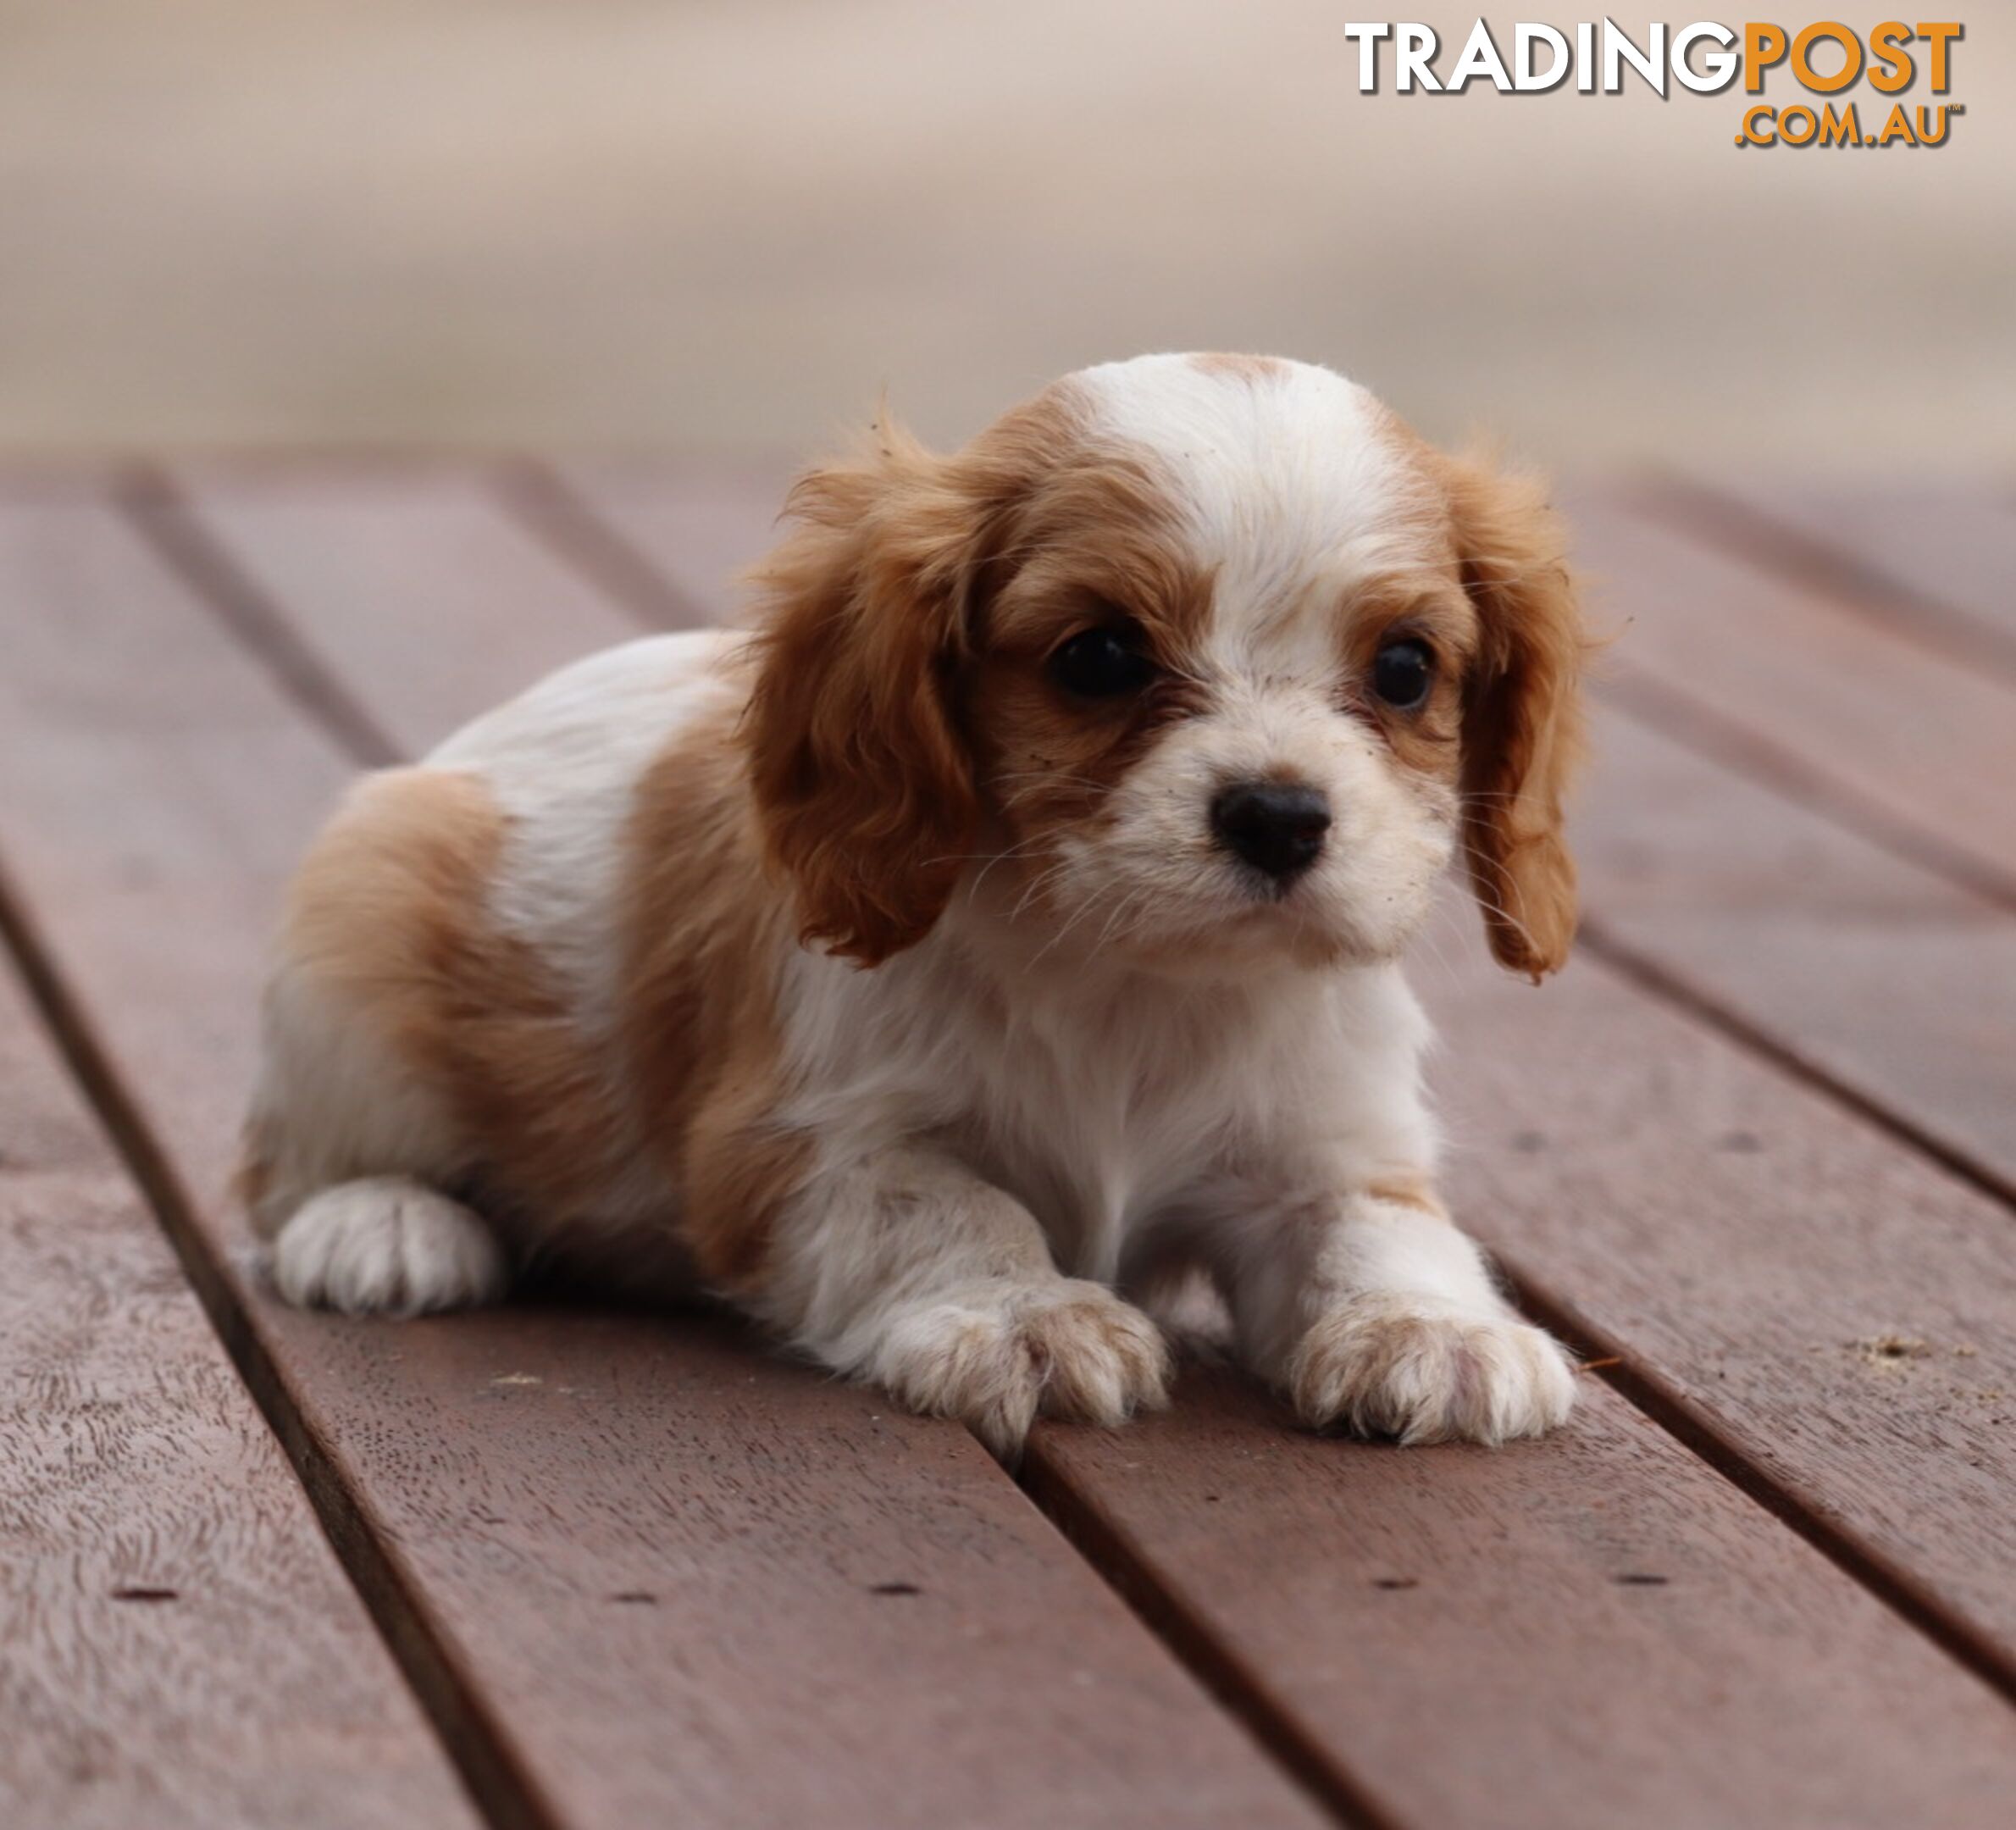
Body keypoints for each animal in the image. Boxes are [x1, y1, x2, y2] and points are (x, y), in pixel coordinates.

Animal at [240, 350, 1588, 1450]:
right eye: (1100, 658)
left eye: (1405, 668)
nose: (1278, 814)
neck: (1137, 982)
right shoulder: (796, 1147)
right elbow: (950, 1204)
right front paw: (1029, 1317)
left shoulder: (1329, 1143)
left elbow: (1382, 1226)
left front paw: (1432, 1330)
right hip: (361, 921)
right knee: (291, 1174)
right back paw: (383, 1226)